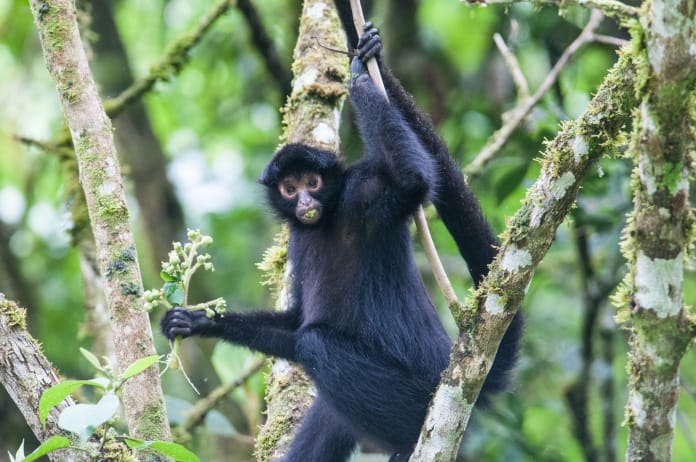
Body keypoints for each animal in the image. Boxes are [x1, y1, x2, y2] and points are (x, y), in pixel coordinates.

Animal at [163, 7, 520, 462]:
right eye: (289, 188)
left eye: (313, 182)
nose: (303, 203)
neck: (329, 218)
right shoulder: (299, 238)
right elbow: (295, 321)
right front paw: (193, 320)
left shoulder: (363, 194)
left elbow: (415, 181)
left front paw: (362, 79)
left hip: (415, 394)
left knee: (316, 344)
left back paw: (407, 441)